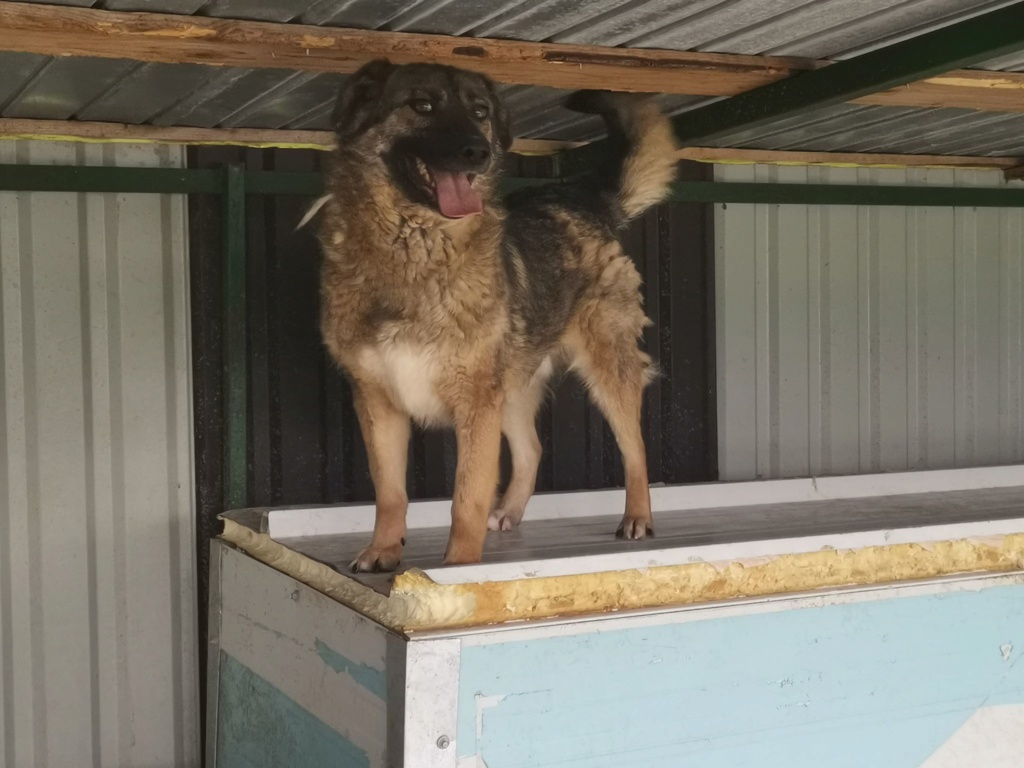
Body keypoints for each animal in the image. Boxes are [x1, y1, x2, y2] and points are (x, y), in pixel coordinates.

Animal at [311, 60, 679, 573]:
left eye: (480, 111)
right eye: (421, 105)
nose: (478, 153)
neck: (414, 247)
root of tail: (583, 202)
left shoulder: (475, 405)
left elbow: (465, 499)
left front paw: (459, 571)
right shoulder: (378, 403)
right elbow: (390, 493)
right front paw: (383, 550)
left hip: (606, 367)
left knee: (636, 448)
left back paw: (638, 517)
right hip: (512, 386)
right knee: (532, 449)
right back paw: (509, 511)